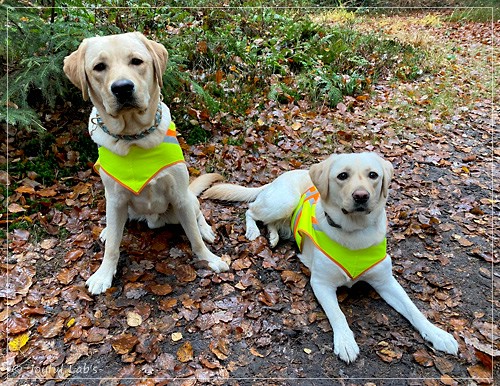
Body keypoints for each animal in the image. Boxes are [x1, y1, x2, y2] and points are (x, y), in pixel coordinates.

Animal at [63, 32, 229, 296]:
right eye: (99, 67)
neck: (134, 137)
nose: (122, 88)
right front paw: (104, 273)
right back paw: (107, 230)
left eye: (136, 61)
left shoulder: (179, 195)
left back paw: (205, 229)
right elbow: (113, 246)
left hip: (184, 202)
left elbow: (193, 236)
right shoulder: (116, 198)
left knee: (197, 211)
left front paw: (208, 258)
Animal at [202, 153, 458, 362]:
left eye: (373, 175)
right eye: (342, 176)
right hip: (284, 201)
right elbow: (338, 314)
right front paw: (345, 341)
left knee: (271, 222)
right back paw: (253, 231)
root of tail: (281, 176)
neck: (355, 232)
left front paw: (437, 334)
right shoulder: (321, 283)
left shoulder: (386, 282)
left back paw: (273, 236)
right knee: (251, 210)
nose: (361, 196)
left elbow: (414, 310)